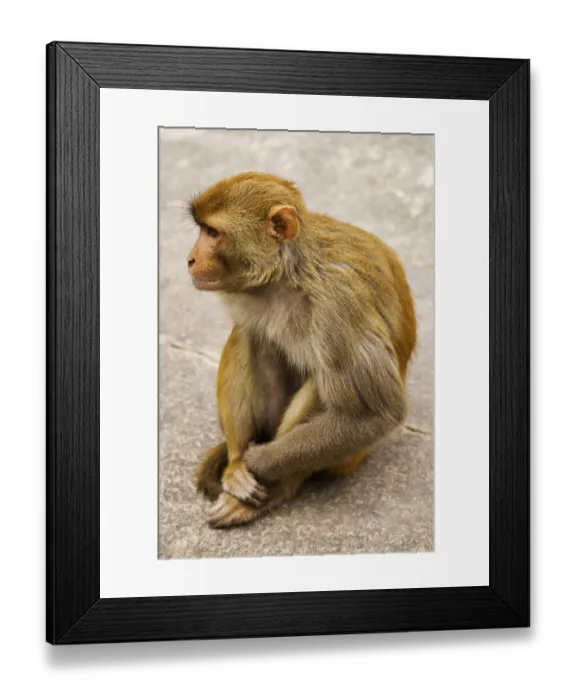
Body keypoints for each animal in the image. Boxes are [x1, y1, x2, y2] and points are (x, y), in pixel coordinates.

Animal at [187, 172, 417, 528]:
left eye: (212, 233)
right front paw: (238, 464)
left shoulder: (340, 307)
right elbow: (247, 333)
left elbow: (376, 414)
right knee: (251, 335)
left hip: (348, 457)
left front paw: (257, 462)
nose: (191, 259)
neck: (289, 275)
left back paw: (277, 487)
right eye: (203, 230)